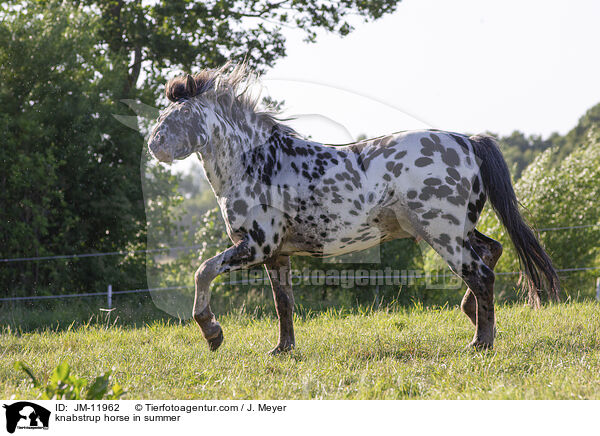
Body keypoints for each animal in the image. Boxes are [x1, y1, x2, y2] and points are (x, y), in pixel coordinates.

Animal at [148, 63, 560, 352]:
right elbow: (283, 304)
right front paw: (282, 349)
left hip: (443, 234)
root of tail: (468, 142)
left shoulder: (257, 245)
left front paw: (212, 332)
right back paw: (472, 315)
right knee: (493, 250)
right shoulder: (276, 254)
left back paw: (481, 341)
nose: (155, 144)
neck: (255, 162)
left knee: (482, 275)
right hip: (455, 229)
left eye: (182, 114)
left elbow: (203, 271)